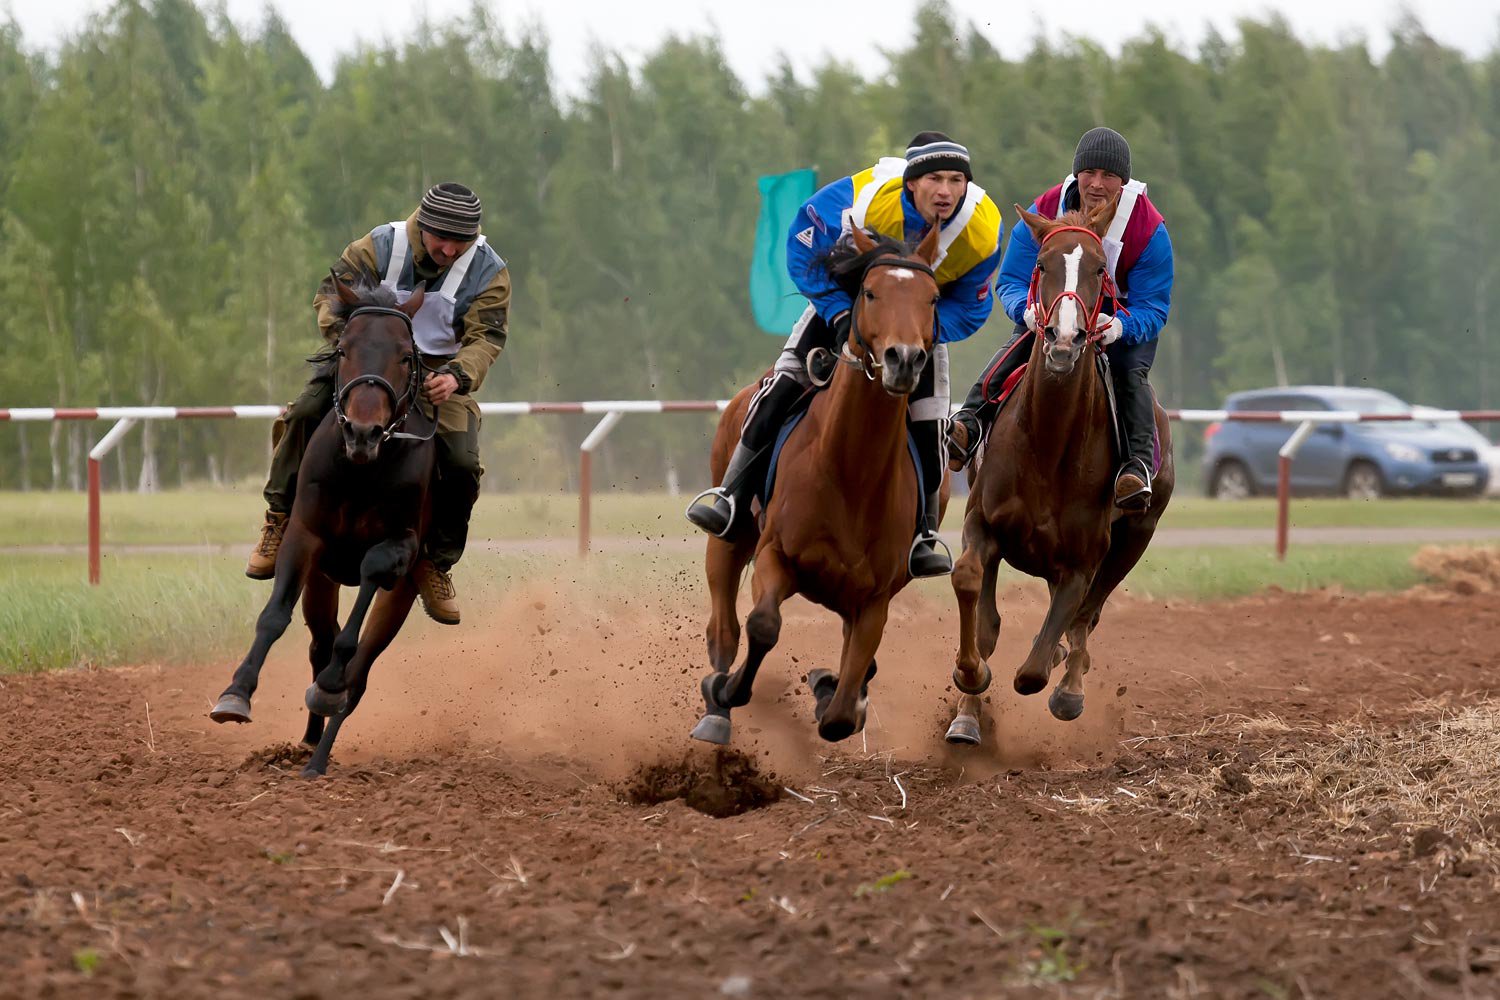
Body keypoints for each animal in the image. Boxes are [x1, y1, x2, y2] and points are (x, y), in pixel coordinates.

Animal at [208, 277, 438, 779]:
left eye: (405, 356)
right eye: (345, 348)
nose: (363, 432)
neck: (362, 470)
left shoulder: (401, 546)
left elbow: (368, 584)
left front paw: (330, 686)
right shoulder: (306, 537)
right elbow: (275, 616)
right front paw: (235, 694)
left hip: (402, 594)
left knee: (359, 673)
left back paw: (318, 755)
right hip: (321, 580)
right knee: (319, 642)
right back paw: (309, 741)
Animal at [690, 223, 948, 746]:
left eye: (932, 298)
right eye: (870, 292)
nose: (905, 359)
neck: (852, 474)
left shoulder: (875, 598)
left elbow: (843, 712)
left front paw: (829, 688)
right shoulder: (776, 554)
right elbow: (763, 625)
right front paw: (728, 690)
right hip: (729, 537)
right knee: (724, 626)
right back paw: (717, 708)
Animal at [942, 199, 1176, 746]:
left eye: (1100, 269)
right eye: (1042, 265)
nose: (1064, 339)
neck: (1047, 446)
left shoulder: (1084, 561)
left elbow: (1039, 662)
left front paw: (1060, 684)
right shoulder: (982, 523)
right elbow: (977, 604)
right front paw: (968, 698)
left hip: (1137, 534)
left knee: (1087, 615)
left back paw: (1070, 685)